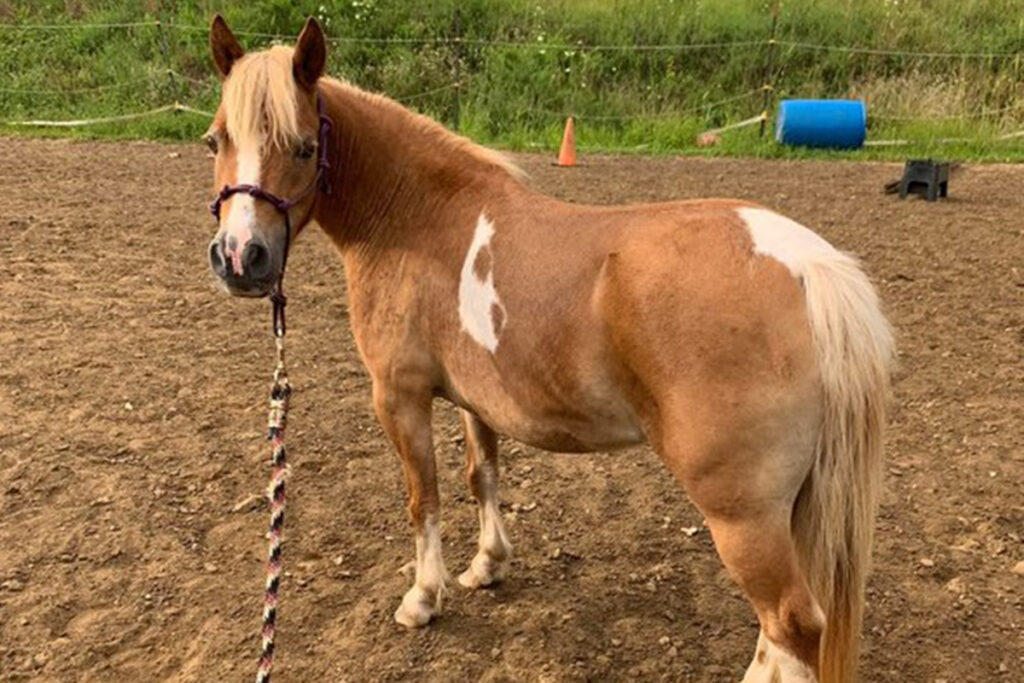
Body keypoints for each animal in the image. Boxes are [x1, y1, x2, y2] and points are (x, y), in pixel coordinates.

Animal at [203, 15, 892, 683]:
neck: (419, 220)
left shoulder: (398, 397)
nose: (240, 257)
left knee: (791, 624)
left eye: (304, 146)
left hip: (742, 514)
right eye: (216, 141)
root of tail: (807, 267)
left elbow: (423, 498)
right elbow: (481, 474)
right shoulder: (473, 400)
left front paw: (423, 598)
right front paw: (486, 566)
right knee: (777, 634)